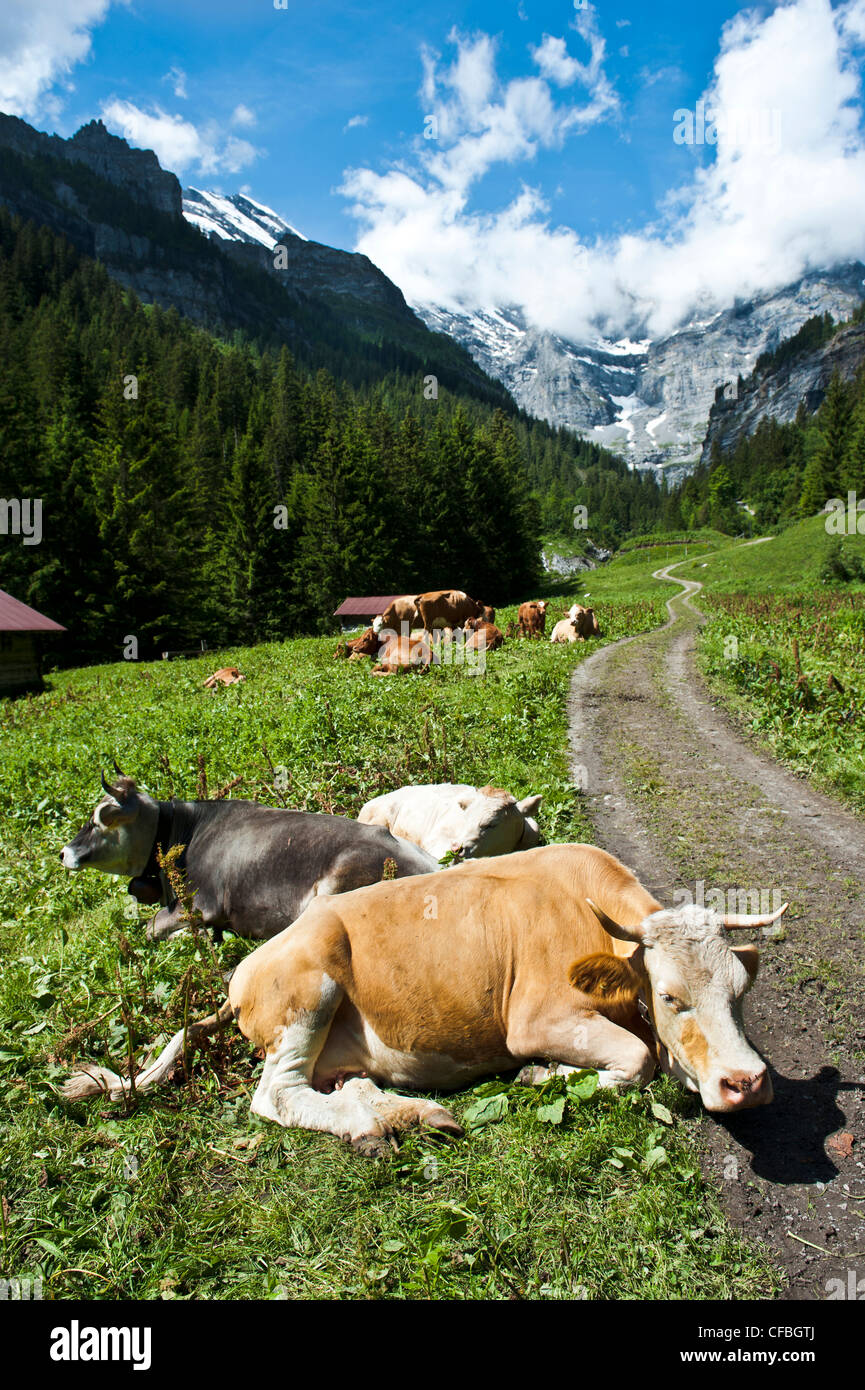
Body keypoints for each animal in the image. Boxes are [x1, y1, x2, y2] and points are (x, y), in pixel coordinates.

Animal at [62, 834, 784, 1150]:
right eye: (669, 997)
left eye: (740, 992)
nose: (746, 1084)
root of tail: (241, 974)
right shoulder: (534, 1019)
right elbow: (634, 1061)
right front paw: (542, 1075)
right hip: (309, 990)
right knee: (275, 1096)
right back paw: (373, 1123)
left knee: (332, 1083)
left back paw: (397, 1112)